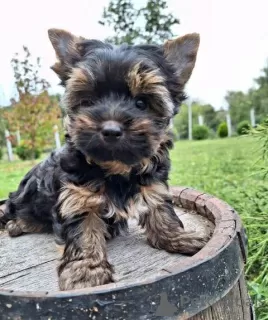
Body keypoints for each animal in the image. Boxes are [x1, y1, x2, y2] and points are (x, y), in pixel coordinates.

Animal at [0, 29, 207, 290]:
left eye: (141, 103)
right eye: (89, 101)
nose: (110, 129)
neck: (115, 169)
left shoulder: (153, 184)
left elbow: (161, 209)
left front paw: (178, 236)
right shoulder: (77, 196)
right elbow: (83, 231)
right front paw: (86, 272)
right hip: (23, 200)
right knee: (14, 210)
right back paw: (16, 224)